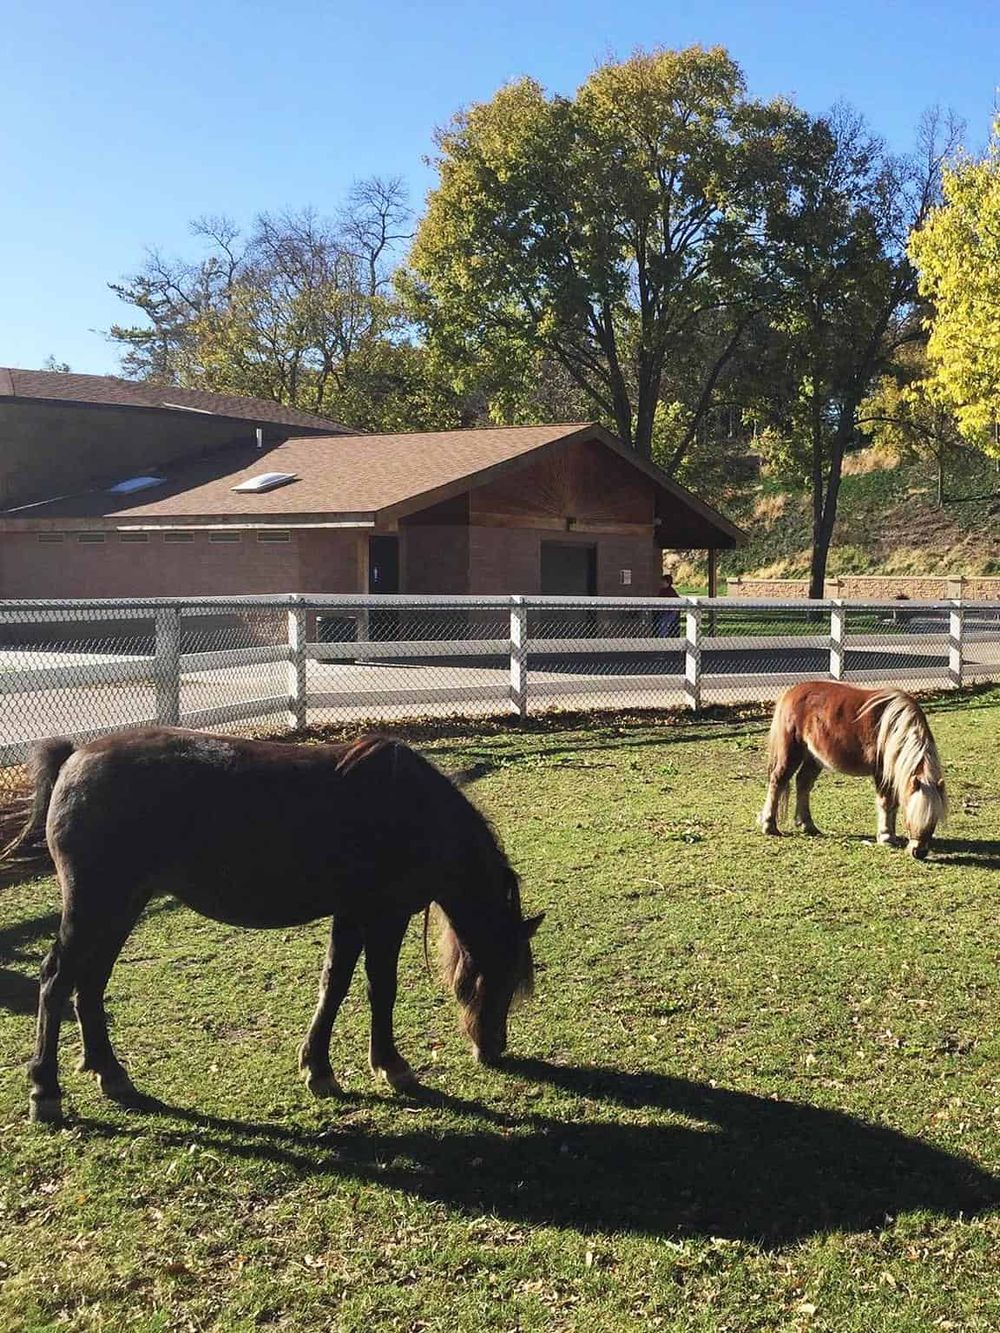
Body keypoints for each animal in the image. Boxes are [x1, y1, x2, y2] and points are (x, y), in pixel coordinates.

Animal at [1, 727, 543, 1123]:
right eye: (499, 978)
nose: (493, 1049)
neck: (413, 810)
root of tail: (74, 756)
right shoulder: (380, 915)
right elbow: (376, 987)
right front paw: (387, 1066)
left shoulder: (353, 915)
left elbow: (336, 984)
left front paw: (319, 1067)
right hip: (95, 906)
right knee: (55, 981)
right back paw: (45, 1090)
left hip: (121, 907)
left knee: (90, 985)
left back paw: (109, 1073)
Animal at [759, 682, 947, 859]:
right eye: (909, 818)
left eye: (934, 821)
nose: (919, 852)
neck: (893, 727)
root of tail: (790, 692)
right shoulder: (881, 772)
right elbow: (886, 802)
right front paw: (886, 837)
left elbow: (893, 803)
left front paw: (891, 835)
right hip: (792, 752)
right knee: (778, 781)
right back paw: (769, 826)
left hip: (814, 757)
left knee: (803, 783)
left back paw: (808, 825)